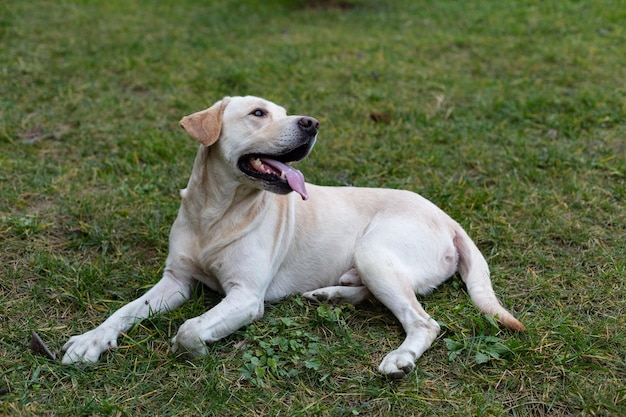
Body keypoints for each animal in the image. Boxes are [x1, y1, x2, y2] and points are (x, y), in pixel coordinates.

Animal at [62, 95, 520, 376]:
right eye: (258, 113)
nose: (312, 123)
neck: (217, 213)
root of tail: (449, 218)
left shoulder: (246, 296)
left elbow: (190, 329)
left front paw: (196, 348)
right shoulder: (175, 281)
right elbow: (124, 311)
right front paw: (90, 342)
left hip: (374, 250)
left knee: (423, 322)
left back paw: (400, 357)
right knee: (372, 294)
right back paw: (329, 295)